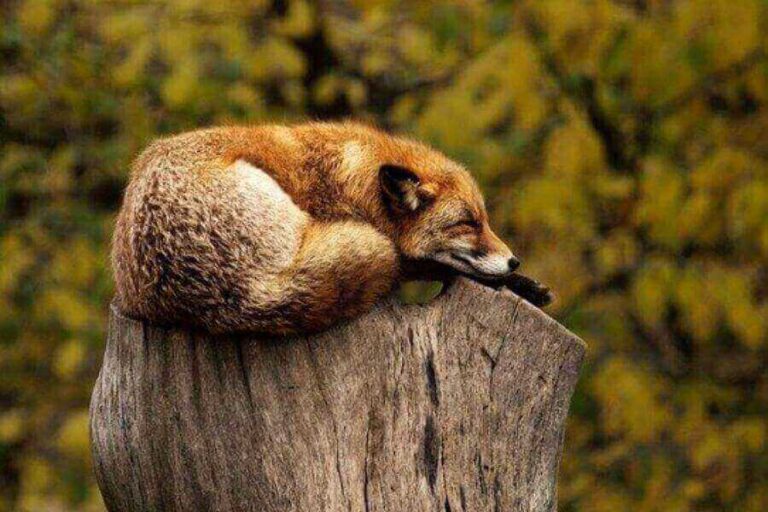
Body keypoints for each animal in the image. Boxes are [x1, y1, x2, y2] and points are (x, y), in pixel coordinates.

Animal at [111, 121, 553, 335]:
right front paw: (518, 282)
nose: (514, 260)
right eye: (467, 223)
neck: (350, 183)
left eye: (485, 220)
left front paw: (526, 284)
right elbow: (428, 265)